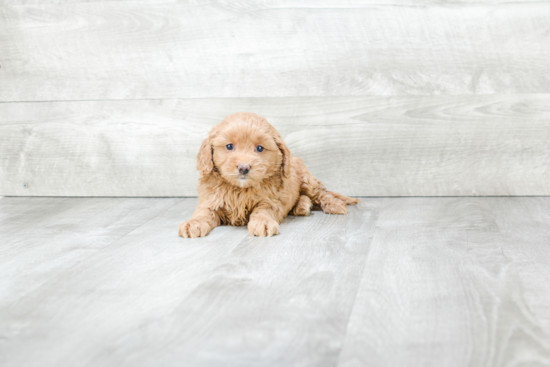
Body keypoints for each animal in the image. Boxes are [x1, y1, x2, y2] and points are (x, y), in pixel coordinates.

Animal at [180, 112, 362, 239]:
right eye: (229, 146)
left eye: (260, 148)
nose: (244, 168)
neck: (240, 190)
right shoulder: (211, 200)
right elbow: (203, 213)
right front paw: (193, 223)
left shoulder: (270, 200)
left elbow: (263, 211)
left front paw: (262, 222)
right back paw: (302, 205)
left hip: (307, 180)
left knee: (321, 194)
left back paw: (334, 205)